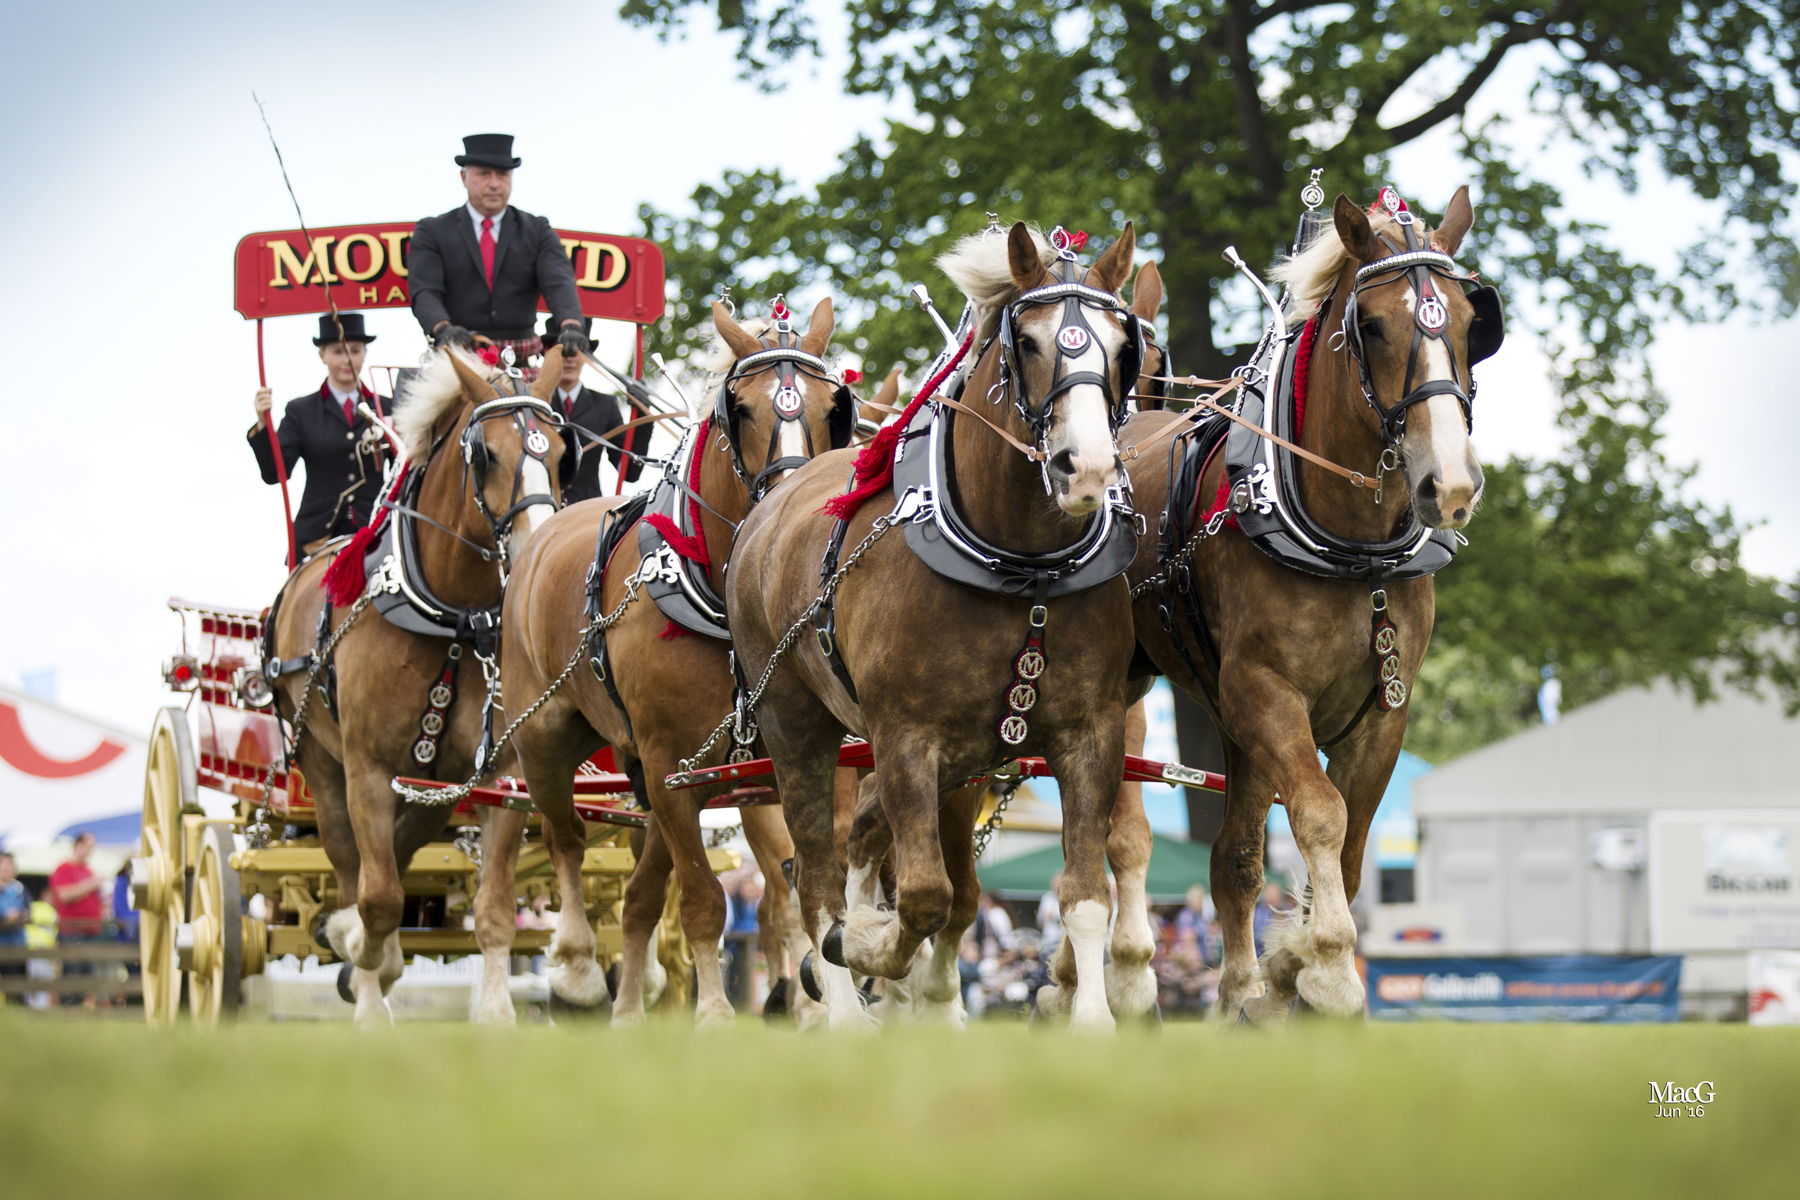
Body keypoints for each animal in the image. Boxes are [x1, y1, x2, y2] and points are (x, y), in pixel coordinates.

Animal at [493, 300, 856, 1036]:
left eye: (834, 407)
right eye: (738, 409)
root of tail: (540, 535)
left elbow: (817, 882)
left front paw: (829, 1001)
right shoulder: (668, 761)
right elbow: (703, 899)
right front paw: (716, 1014)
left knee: (637, 894)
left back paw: (631, 1009)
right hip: (547, 738)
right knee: (565, 835)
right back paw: (575, 966)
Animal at [727, 224, 1137, 1036]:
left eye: (1120, 343)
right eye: (1028, 342)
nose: (1086, 468)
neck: (1023, 570)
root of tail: (772, 502)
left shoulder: (1090, 734)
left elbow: (1082, 894)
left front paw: (1090, 1020)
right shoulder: (906, 738)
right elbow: (921, 896)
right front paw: (865, 946)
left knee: (867, 842)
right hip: (798, 727)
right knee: (815, 876)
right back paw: (843, 999)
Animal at [1116, 189, 1497, 1021]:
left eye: (1468, 320)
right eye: (1373, 324)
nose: (1449, 485)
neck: (1354, 551)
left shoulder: (1382, 712)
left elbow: (1348, 848)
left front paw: (1291, 968)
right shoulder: (1261, 690)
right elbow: (1321, 812)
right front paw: (1325, 966)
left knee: (1231, 859)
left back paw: (1235, 996)